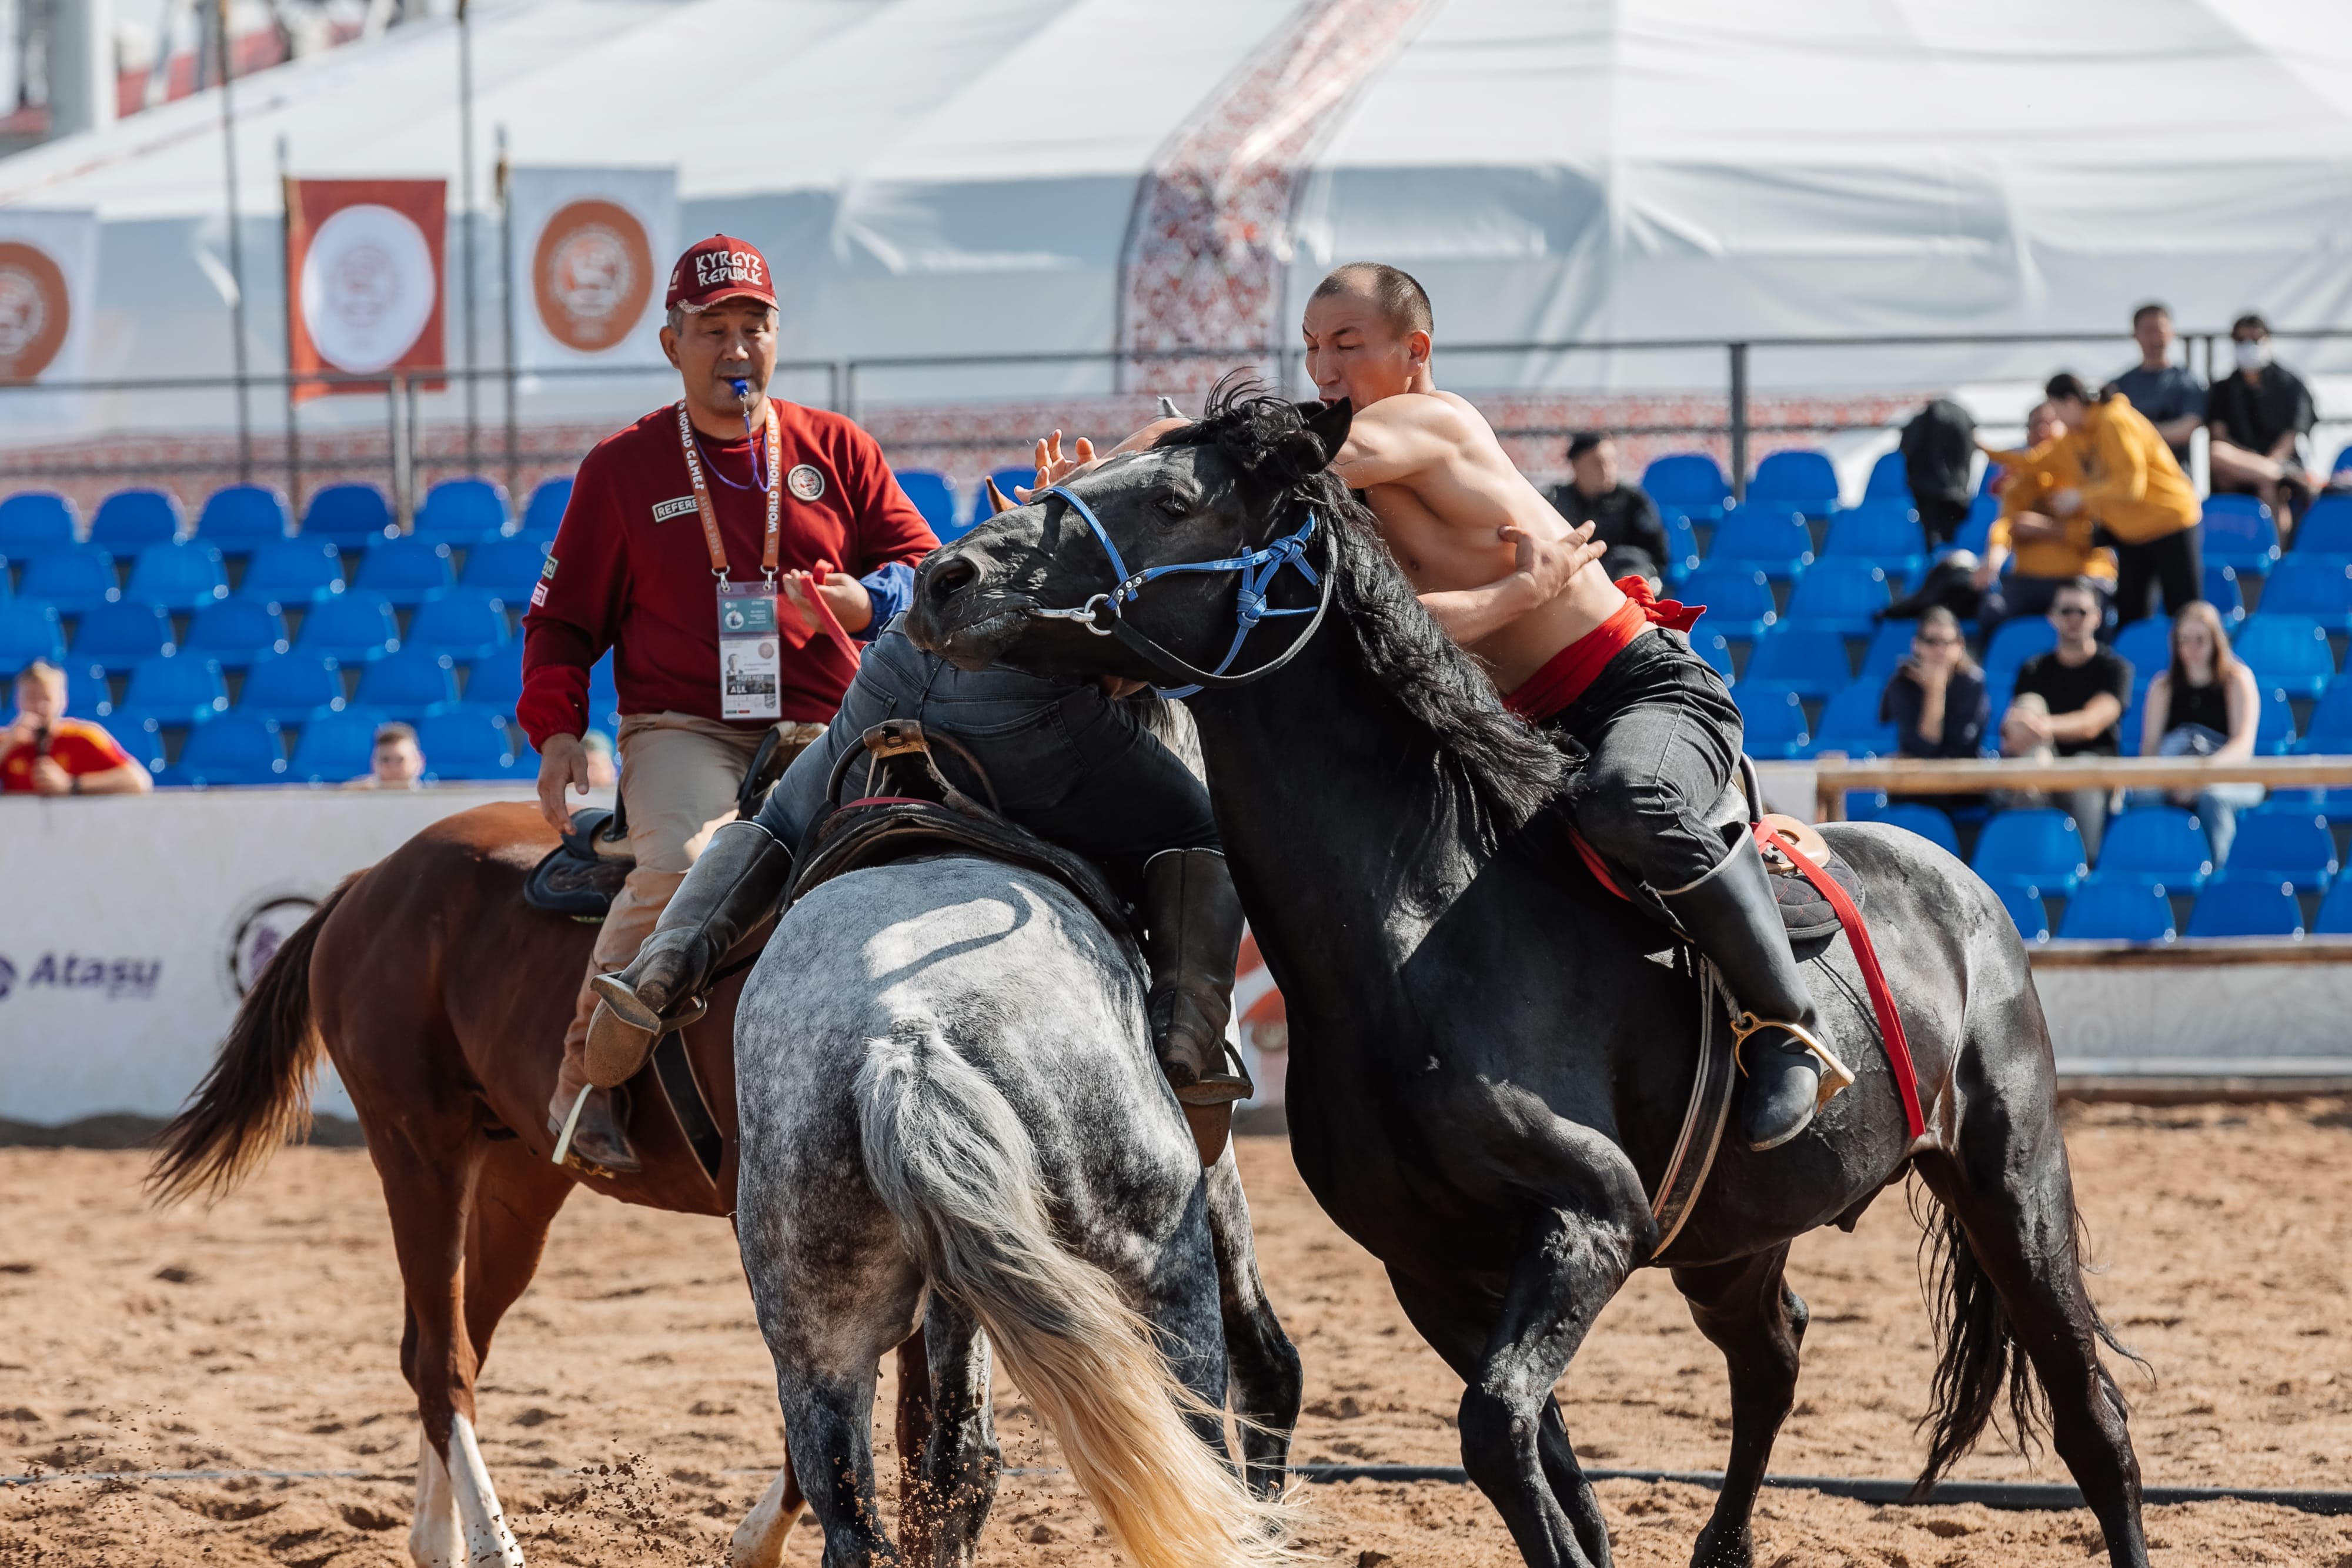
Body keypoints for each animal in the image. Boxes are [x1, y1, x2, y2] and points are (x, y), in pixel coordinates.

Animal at [145, 808, 898, 1568]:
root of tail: (373, 879)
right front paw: (759, 1543)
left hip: (518, 1182)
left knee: (446, 1345)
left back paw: (437, 1539)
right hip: (418, 1153)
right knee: (441, 1362)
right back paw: (489, 1542)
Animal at [729, 851, 1298, 1568]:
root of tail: (905, 1034)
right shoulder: (1213, 1170)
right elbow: (1270, 1368)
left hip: (818, 1345)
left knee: (872, 1519)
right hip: (1162, 1285)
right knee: (1215, 1437)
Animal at [898, 385, 2154, 1568]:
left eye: (1169, 498)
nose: (948, 577)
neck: (1420, 934)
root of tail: (1958, 877)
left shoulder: (1589, 1220)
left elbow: (1496, 1433)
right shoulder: (1435, 1267)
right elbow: (1546, 1465)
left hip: (2011, 1179)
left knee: (2092, 1416)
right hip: (1731, 1240)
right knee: (1773, 1357)